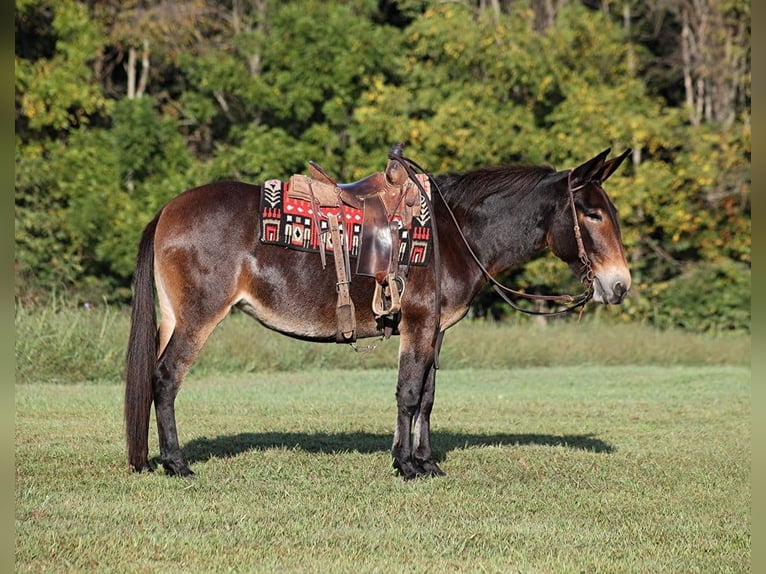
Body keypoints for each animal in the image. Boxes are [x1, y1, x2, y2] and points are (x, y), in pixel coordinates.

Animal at [125, 147, 632, 480]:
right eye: (590, 214)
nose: (620, 284)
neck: (454, 233)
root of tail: (168, 209)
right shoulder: (418, 324)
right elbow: (408, 393)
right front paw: (406, 466)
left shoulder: (435, 330)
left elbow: (427, 396)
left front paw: (424, 461)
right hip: (198, 318)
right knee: (165, 378)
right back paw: (176, 463)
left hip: (171, 317)